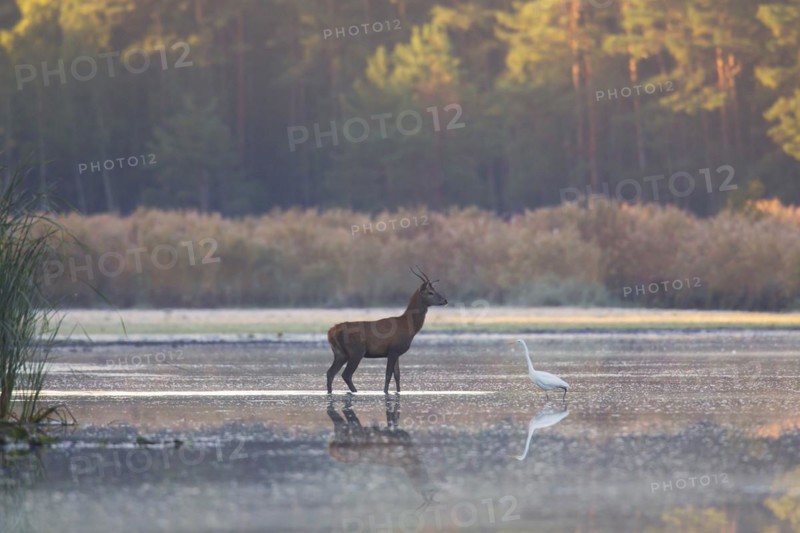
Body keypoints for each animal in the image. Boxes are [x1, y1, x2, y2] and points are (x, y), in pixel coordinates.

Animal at [326, 266, 447, 394]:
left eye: (434, 289)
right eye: (430, 292)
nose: (445, 300)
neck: (409, 327)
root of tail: (331, 332)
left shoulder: (397, 352)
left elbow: (397, 376)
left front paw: (398, 392)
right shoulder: (393, 350)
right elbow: (388, 375)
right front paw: (385, 392)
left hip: (340, 353)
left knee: (330, 373)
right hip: (356, 351)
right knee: (346, 374)